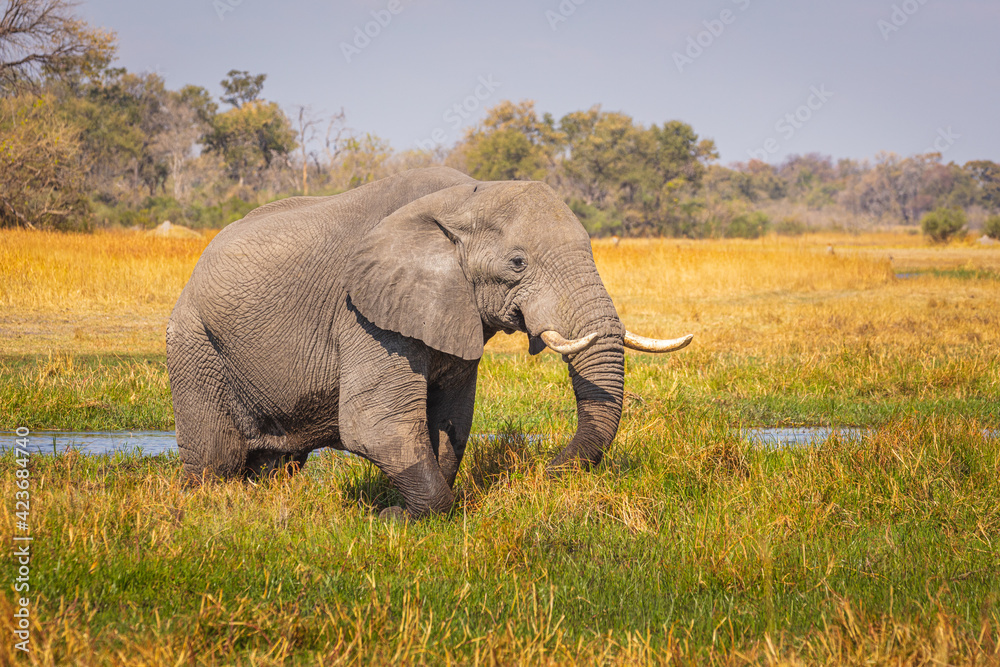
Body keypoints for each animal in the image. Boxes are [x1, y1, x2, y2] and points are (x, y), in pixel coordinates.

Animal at [166, 167, 692, 517]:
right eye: (518, 263)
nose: (544, 471)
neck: (465, 198)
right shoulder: (364, 313)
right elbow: (377, 425)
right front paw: (395, 519)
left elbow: (450, 420)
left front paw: (401, 512)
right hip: (194, 342)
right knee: (215, 458)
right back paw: (203, 504)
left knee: (277, 462)